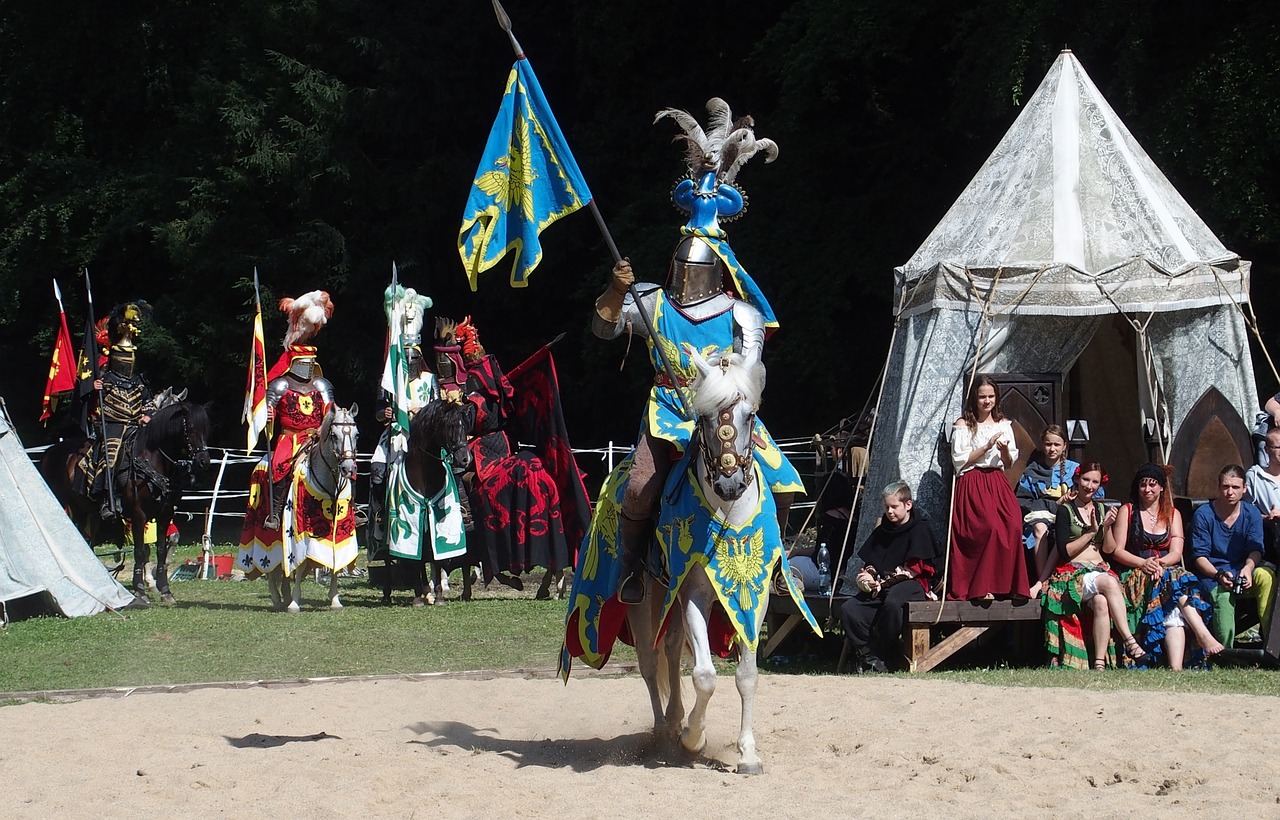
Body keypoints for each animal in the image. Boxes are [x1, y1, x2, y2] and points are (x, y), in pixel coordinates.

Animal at [40, 399, 209, 603]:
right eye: (190, 428)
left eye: (207, 428)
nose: (204, 461)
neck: (151, 459)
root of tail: (49, 452)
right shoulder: (138, 515)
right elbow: (140, 551)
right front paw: (140, 591)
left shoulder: (165, 513)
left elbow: (161, 550)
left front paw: (165, 590)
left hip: (85, 511)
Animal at [267, 404, 360, 614]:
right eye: (333, 435)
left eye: (356, 435)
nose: (348, 468)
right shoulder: (302, 532)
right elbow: (300, 565)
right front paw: (294, 603)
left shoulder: (340, 530)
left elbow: (336, 561)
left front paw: (335, 600)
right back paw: (277, 598)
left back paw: (284, 595)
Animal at [637, 353, 773, 772]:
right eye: (707, 417)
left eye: (750, 415)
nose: (730, 484)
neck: (728, 513)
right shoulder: (694, 592)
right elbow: (705, 675)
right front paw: (693, 739)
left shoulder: (754, 597)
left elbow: (746, 674)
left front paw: (748, 752)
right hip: (647, 597)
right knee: (650, 661)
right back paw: (665, 731)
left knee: (669, 649)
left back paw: (675, 719)